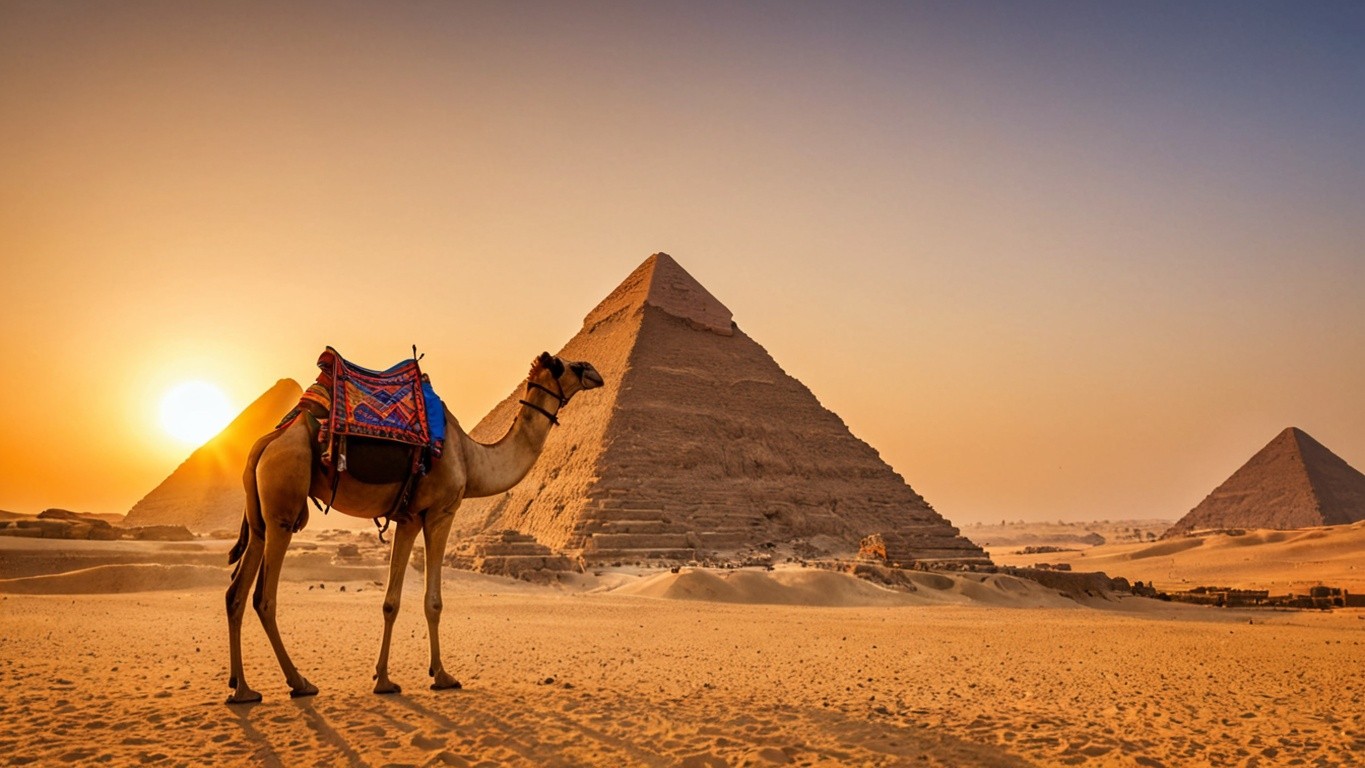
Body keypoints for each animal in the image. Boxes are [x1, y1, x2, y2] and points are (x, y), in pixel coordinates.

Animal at [225, 352, 603, 704]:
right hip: (284, 504)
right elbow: (433, 601)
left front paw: (383, 679)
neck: (472, 460)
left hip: (261, 518)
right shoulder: (440, 512)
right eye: (566, 365)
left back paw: (242, 689)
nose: (595, 373)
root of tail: (265, 444)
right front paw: (443, 675)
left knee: (236, 593)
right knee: (264, 598)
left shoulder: (408, 518)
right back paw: (299, 682)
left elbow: (391, 602)